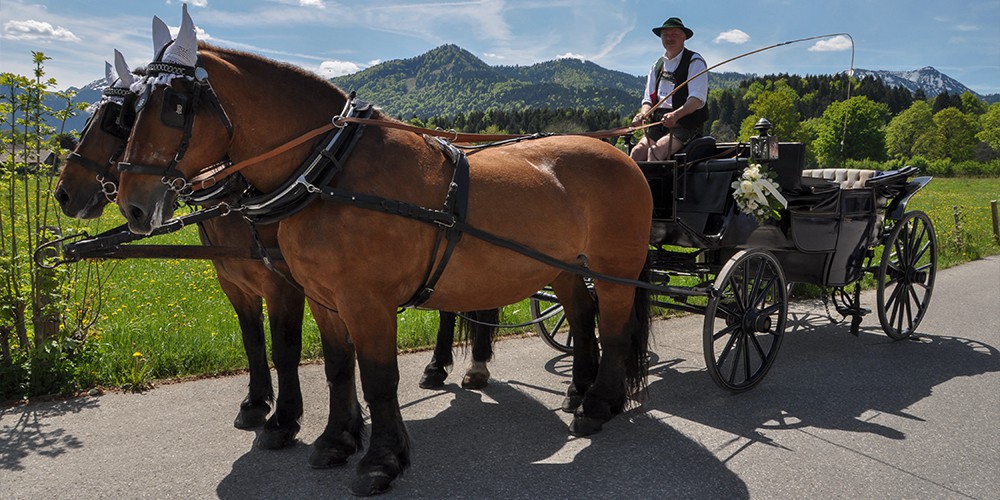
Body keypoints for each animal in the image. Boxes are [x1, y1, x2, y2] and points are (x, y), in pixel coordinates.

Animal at [115, 8, 648, 496]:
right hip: (565, 268)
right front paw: (336, 440)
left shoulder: (366, 301)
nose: (133, 206)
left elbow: (377, 377)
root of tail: (622, 154)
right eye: (131, 109)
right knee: (581, 317)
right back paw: (579, 391)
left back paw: (599, 405)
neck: (332, 169)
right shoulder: (324, 298)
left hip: (615, 270)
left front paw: (381, 460)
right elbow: (337, 367)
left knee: (612, 327)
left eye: (174, 105)